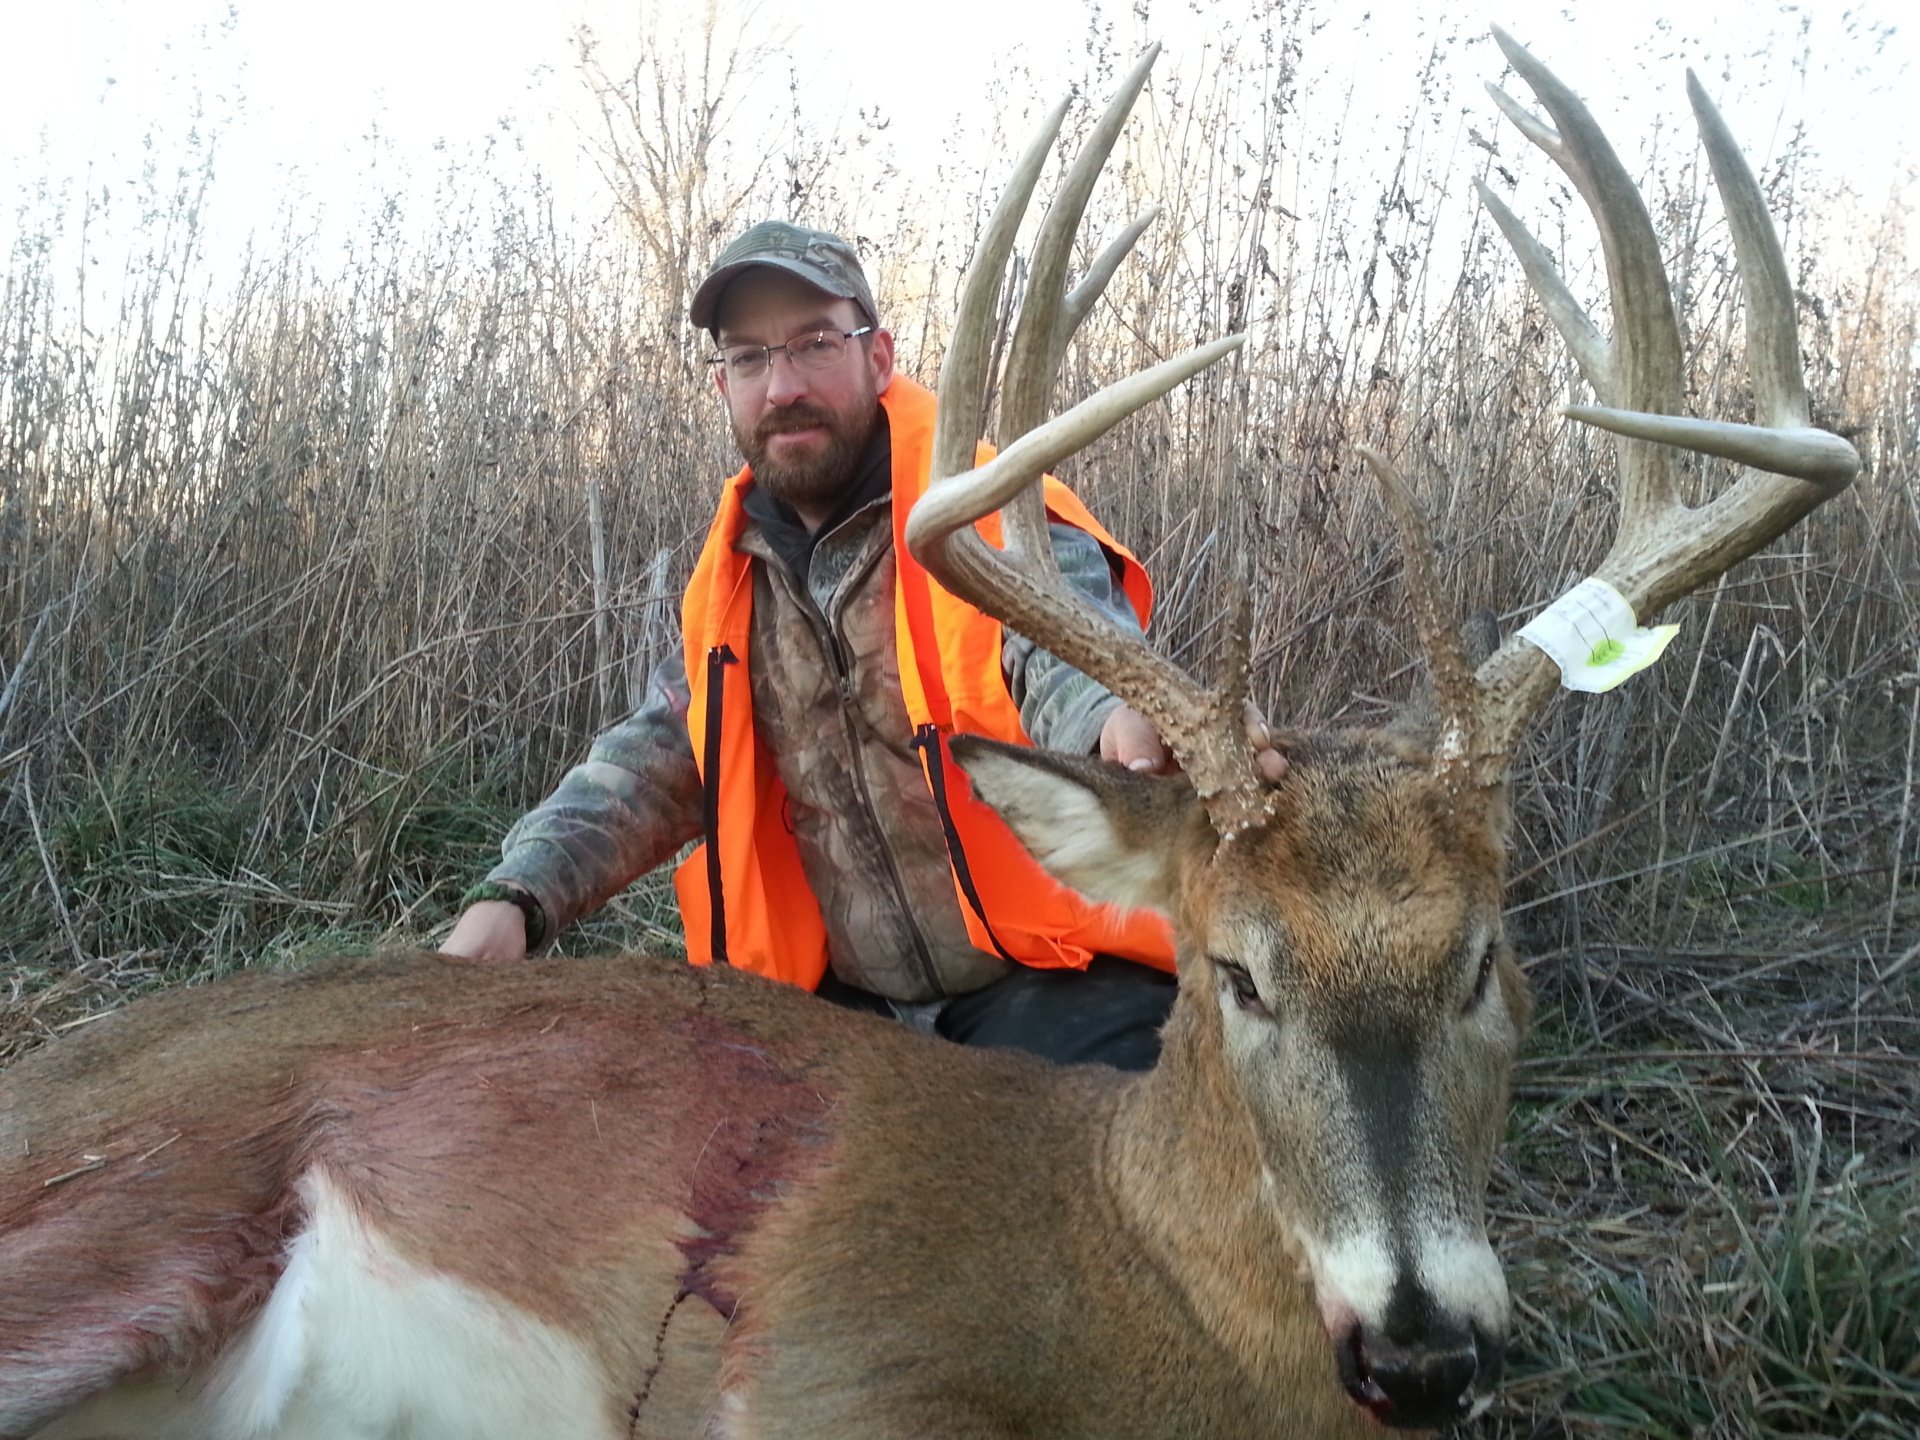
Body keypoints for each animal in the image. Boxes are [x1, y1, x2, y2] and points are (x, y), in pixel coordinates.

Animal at [0, 28, 1858, 1440]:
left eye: (1484, 958)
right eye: (1235, 972)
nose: (1421, 1356)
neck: (1136, 1303)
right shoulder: (829, 1360)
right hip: (129, 1212)